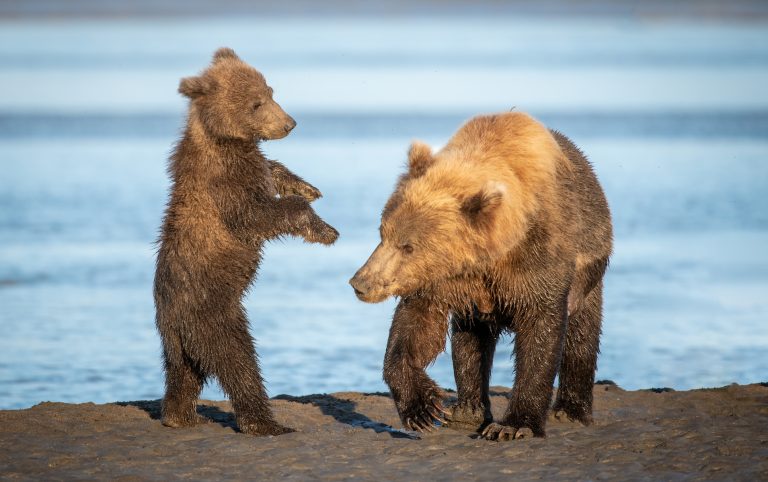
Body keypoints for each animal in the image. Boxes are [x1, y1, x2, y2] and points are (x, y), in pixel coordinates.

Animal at [154, 47, 339, 436]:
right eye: (256, 103)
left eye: (270, 91)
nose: (289, 124)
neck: (224, 138)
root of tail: (170, 320)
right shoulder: (223, 180)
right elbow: (255, 215)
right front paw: (324, 228)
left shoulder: (247, 161)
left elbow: (271, 168)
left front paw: (307, 187)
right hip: (214, 311)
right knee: (238, 362)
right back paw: (266, 422)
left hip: (181, 341)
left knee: (184, 373)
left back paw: (179, 416)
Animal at [349, 111, 612, 441]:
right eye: (383, 233)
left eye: (408, 246)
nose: (360, 283)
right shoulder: (438, 281)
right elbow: (415, 326)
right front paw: (423, 409)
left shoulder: (539, 254)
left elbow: (541, 328)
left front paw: (514, 425)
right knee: (470, 342)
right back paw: (466, 412)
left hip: (589, 270)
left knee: (582, 333)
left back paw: (571, 410)